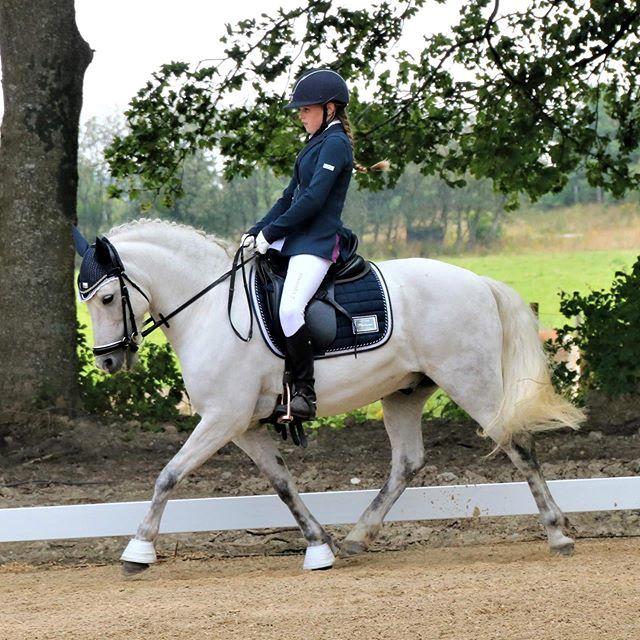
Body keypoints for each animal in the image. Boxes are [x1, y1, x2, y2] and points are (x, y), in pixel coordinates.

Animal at [77, 219, 585, 574]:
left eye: (106, 298)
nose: (108, 362)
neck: (209, 308)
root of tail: (479, 281)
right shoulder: (241, 426)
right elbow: (282, 483)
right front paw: (319, 545)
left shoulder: (222, 418)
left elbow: (168, 475)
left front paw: (138, 549)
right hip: (404, 393)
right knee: (408, 462)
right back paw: (359, 535)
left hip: (471, 382)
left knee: (518, 444)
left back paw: (558, 534)